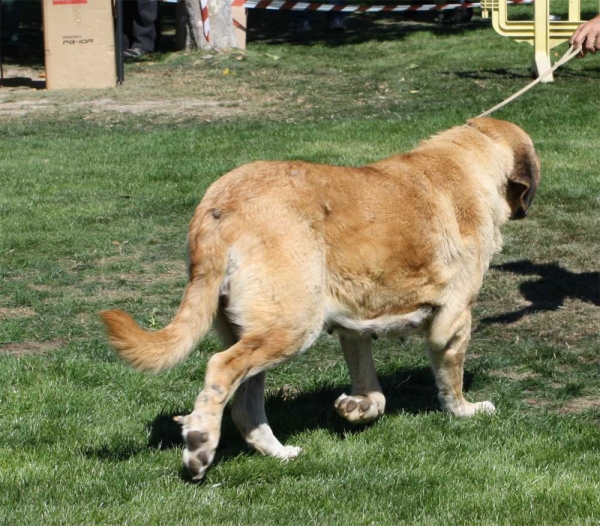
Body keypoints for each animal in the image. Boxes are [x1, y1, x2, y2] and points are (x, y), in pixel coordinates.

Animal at [101, 117, 540, 480]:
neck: (469, 156)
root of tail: (220, 203)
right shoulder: (453, 322)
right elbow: (452, 381)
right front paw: (465, 411)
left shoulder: (354, 329)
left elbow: (373, 390)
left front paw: (358, 408)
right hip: (293, 326)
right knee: (220, 369)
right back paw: (199, 447)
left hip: (258, 331)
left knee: (245, 405)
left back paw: (276, 452)